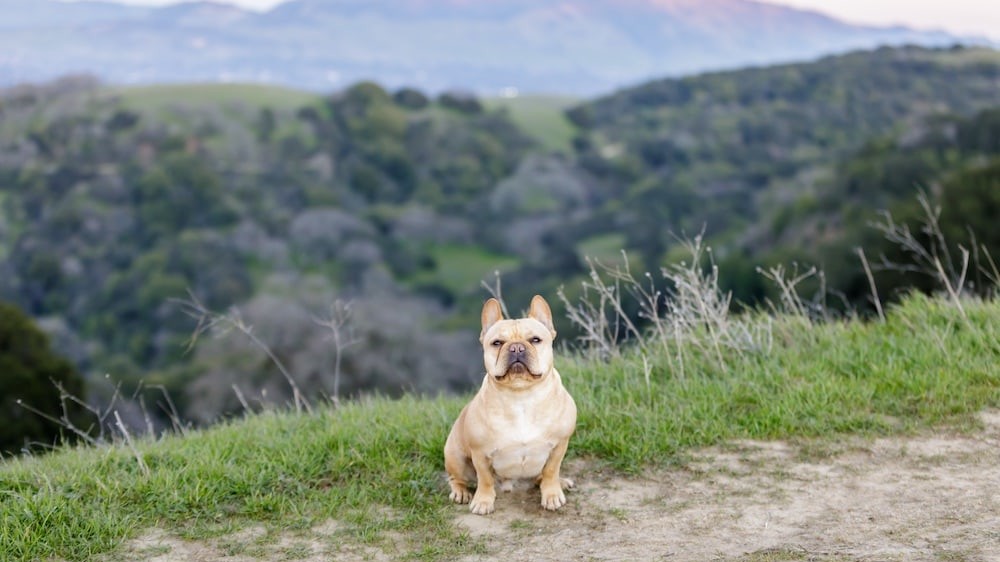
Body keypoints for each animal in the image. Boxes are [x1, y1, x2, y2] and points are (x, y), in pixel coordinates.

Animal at [442, 296, 576, 516]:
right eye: (497, 343)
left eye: (535, 340)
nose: (516, 348)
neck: (521, 396)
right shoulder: (479, 453)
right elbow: (485, 479)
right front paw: (483, 501)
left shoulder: (559, 445)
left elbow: (551, 471)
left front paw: (552, 494)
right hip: (455, 456)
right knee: (456, 478)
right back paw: (461, 492)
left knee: (542, 475)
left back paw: (560, 482)